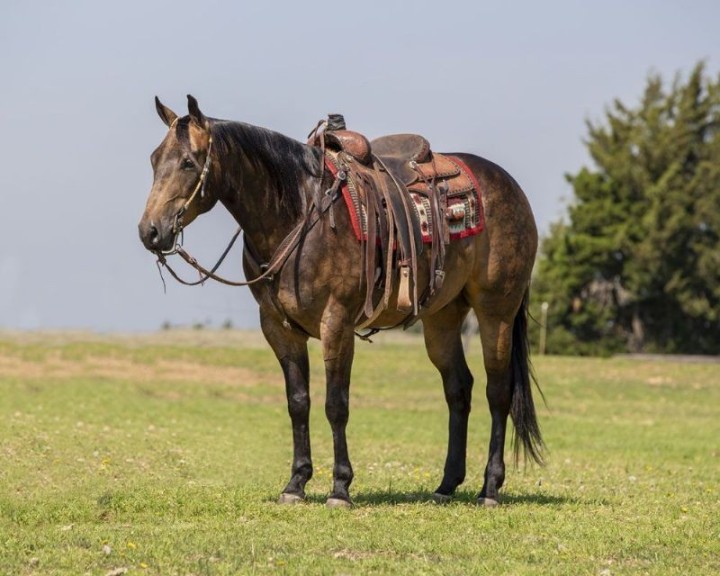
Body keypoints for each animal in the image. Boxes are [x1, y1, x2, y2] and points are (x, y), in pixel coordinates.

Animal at [138, 95, 543, 507]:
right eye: (155, 159)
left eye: (189, 162)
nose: (150, 231)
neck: (297, 215)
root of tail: (509, 186)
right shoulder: (278, 327)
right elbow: (298, 402)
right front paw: (296, 483)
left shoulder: (336, 323)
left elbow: (336, 404)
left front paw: (340, 487)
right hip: (442, 317)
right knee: (459, 388)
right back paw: (446, 485)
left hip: (497, 310)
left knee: (499, 392)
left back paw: (490, 488)